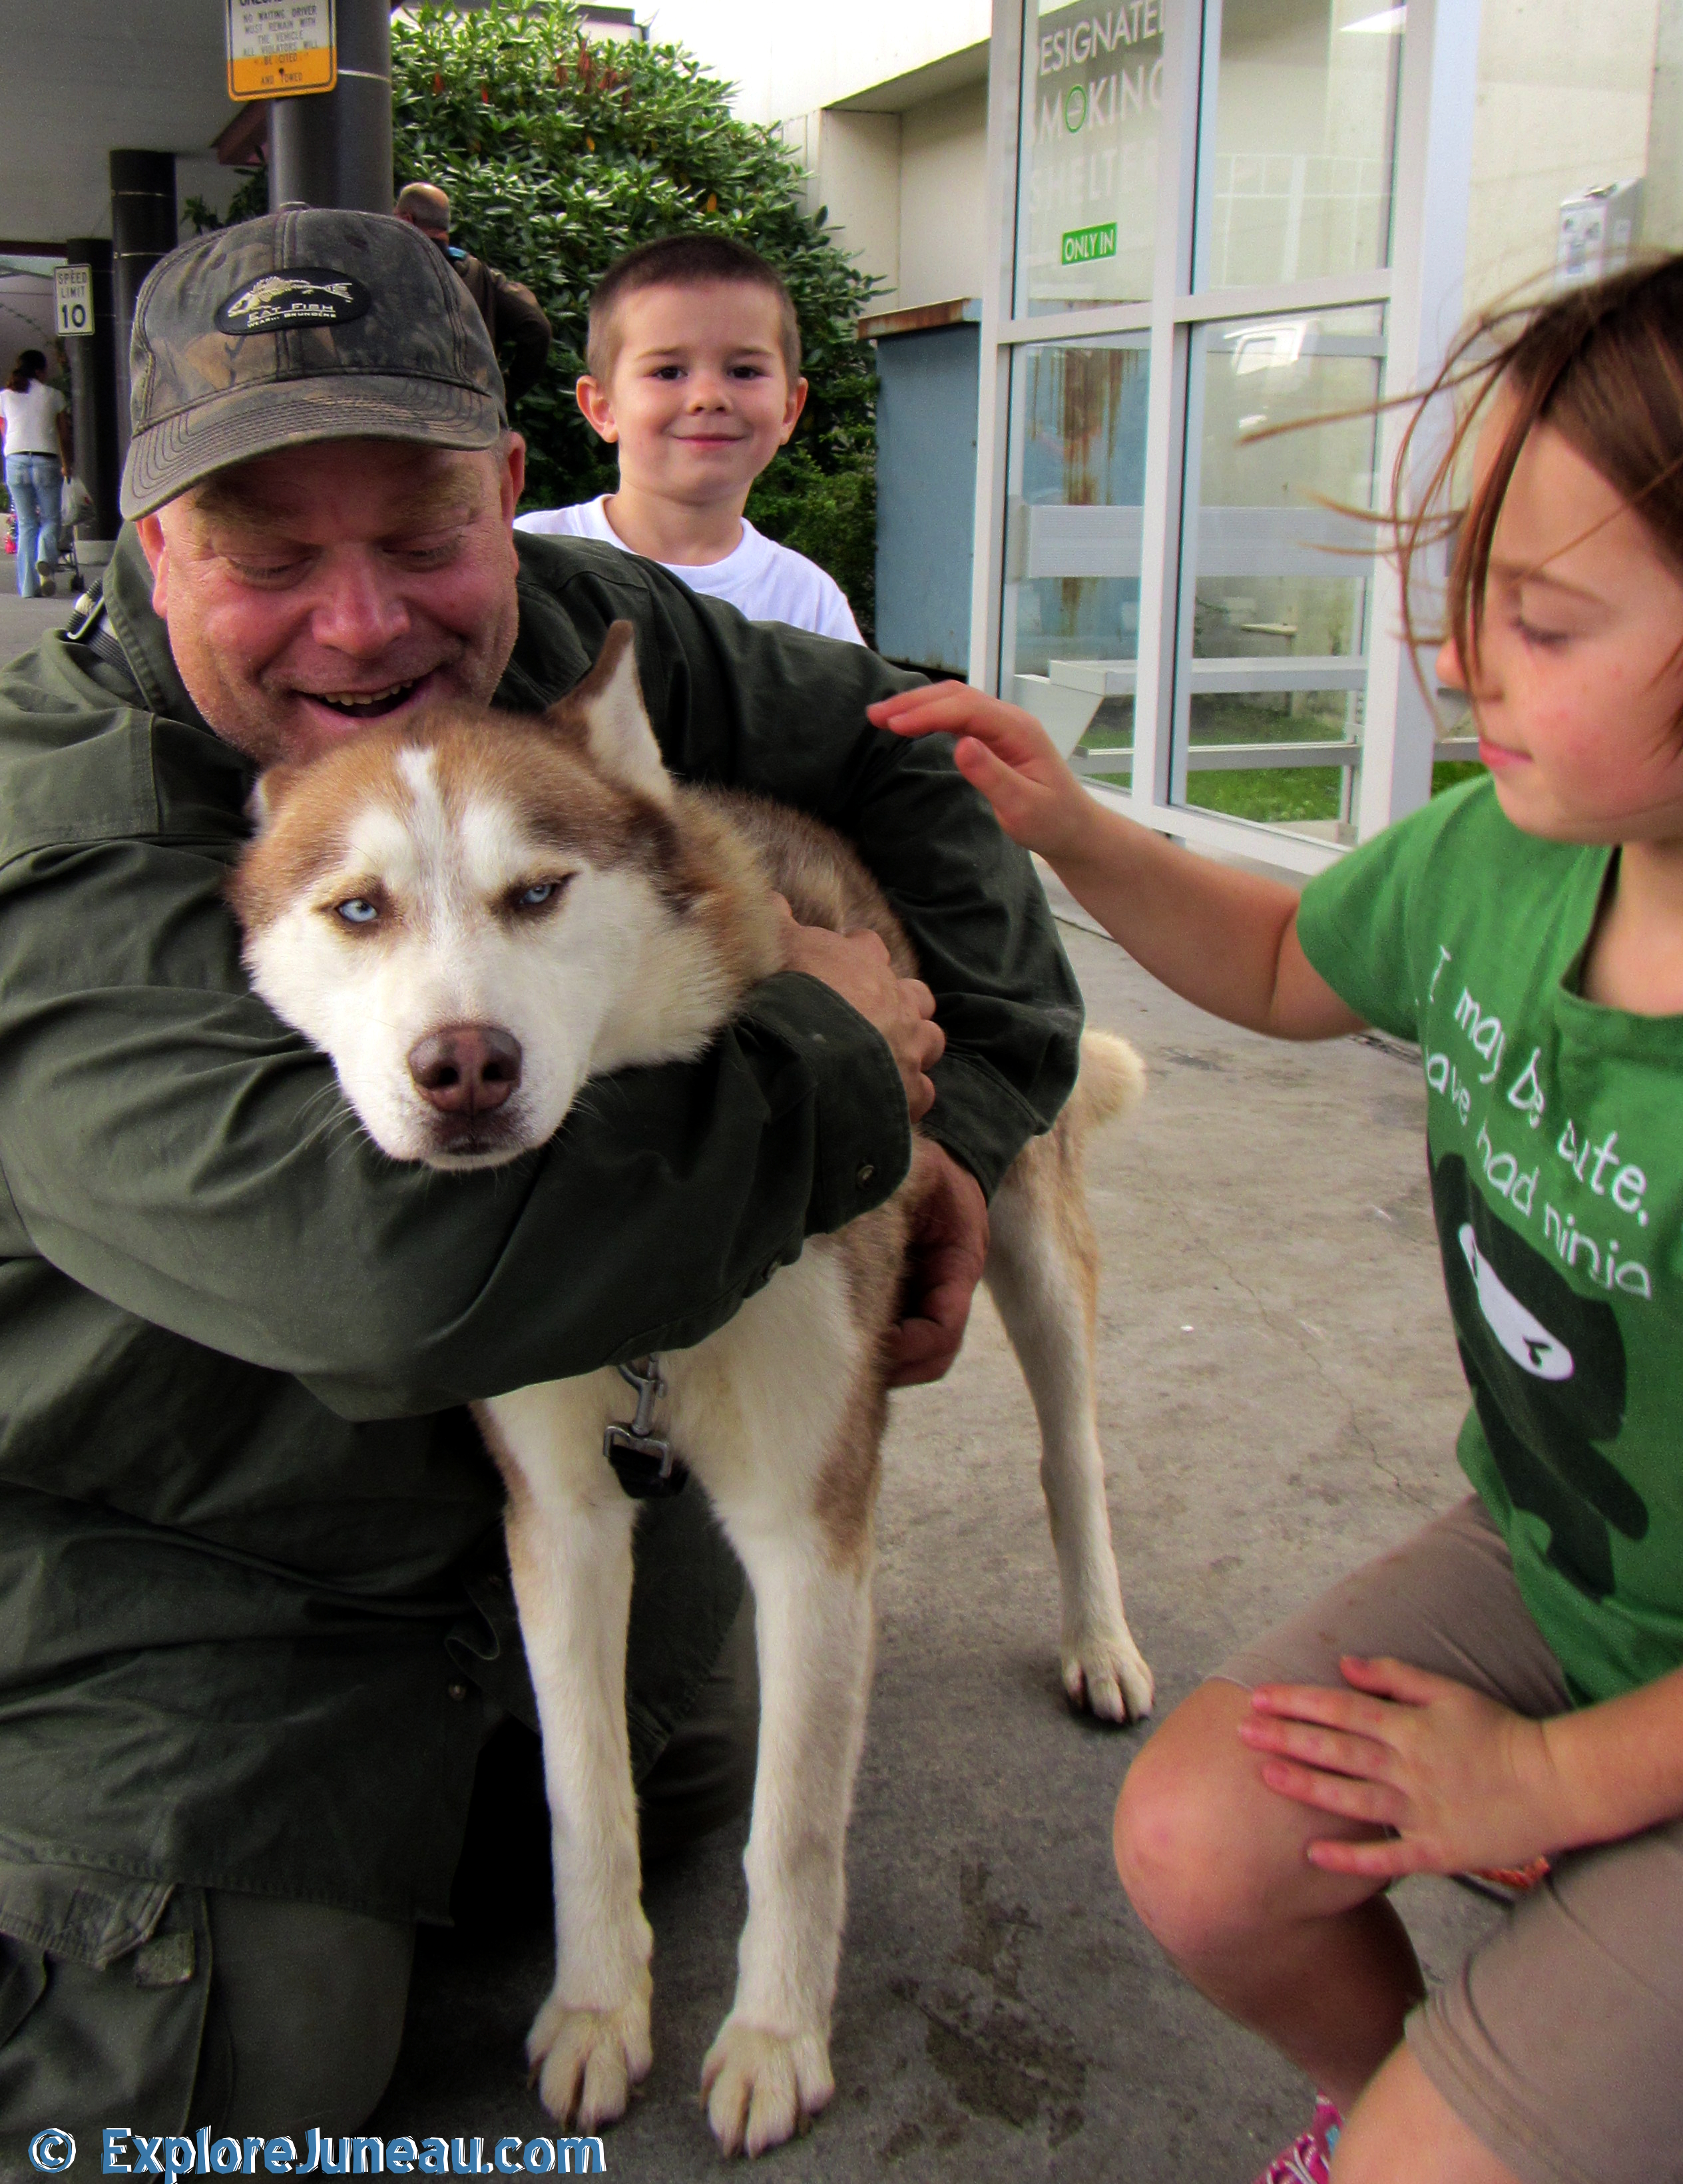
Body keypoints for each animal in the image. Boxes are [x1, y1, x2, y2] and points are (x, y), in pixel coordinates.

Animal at [230, 625, 1152, 2157]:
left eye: (536, 892)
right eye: (358, 909)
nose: (463, 1067)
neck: (648, 1265)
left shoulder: (805, 1532)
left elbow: (793, 1825)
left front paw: (774, 2039)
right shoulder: (558, 1521)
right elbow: (582, 1797)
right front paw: (598, 2010)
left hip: (1030, 1228)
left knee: (1070, 1453)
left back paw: (1100, 1640)